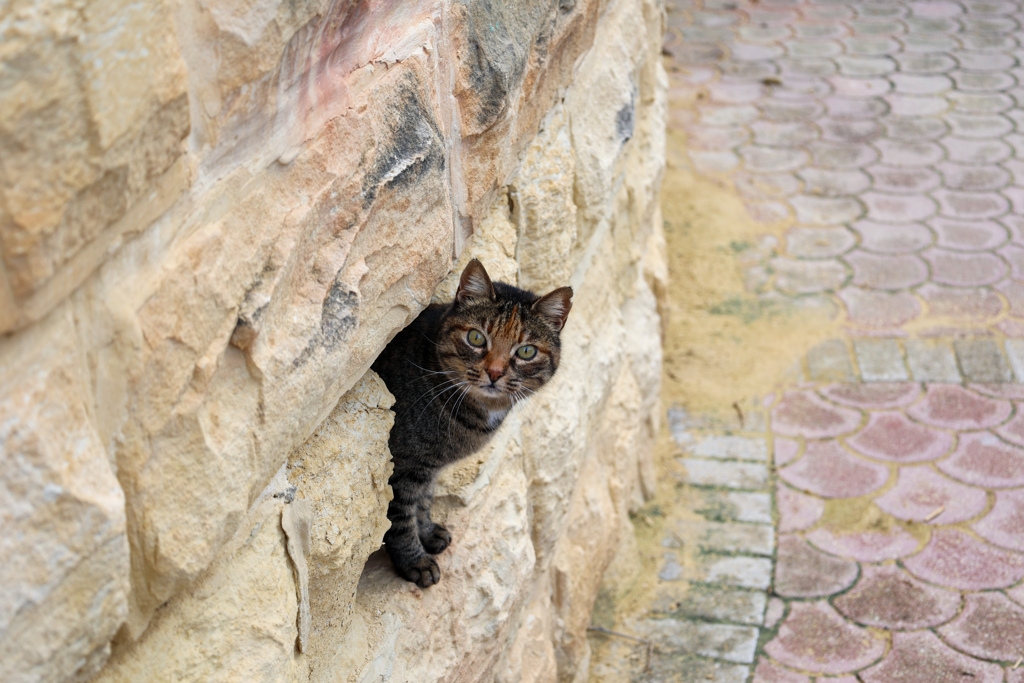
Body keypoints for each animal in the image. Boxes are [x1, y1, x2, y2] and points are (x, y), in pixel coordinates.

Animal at [372, 259, 573, 589]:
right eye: (477, 338)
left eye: (526, 351)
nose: (495, 372)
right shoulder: (401, 465)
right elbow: (400, 518)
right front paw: (415, 561)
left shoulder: (427, 467)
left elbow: (422, 502)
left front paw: (427, 533)